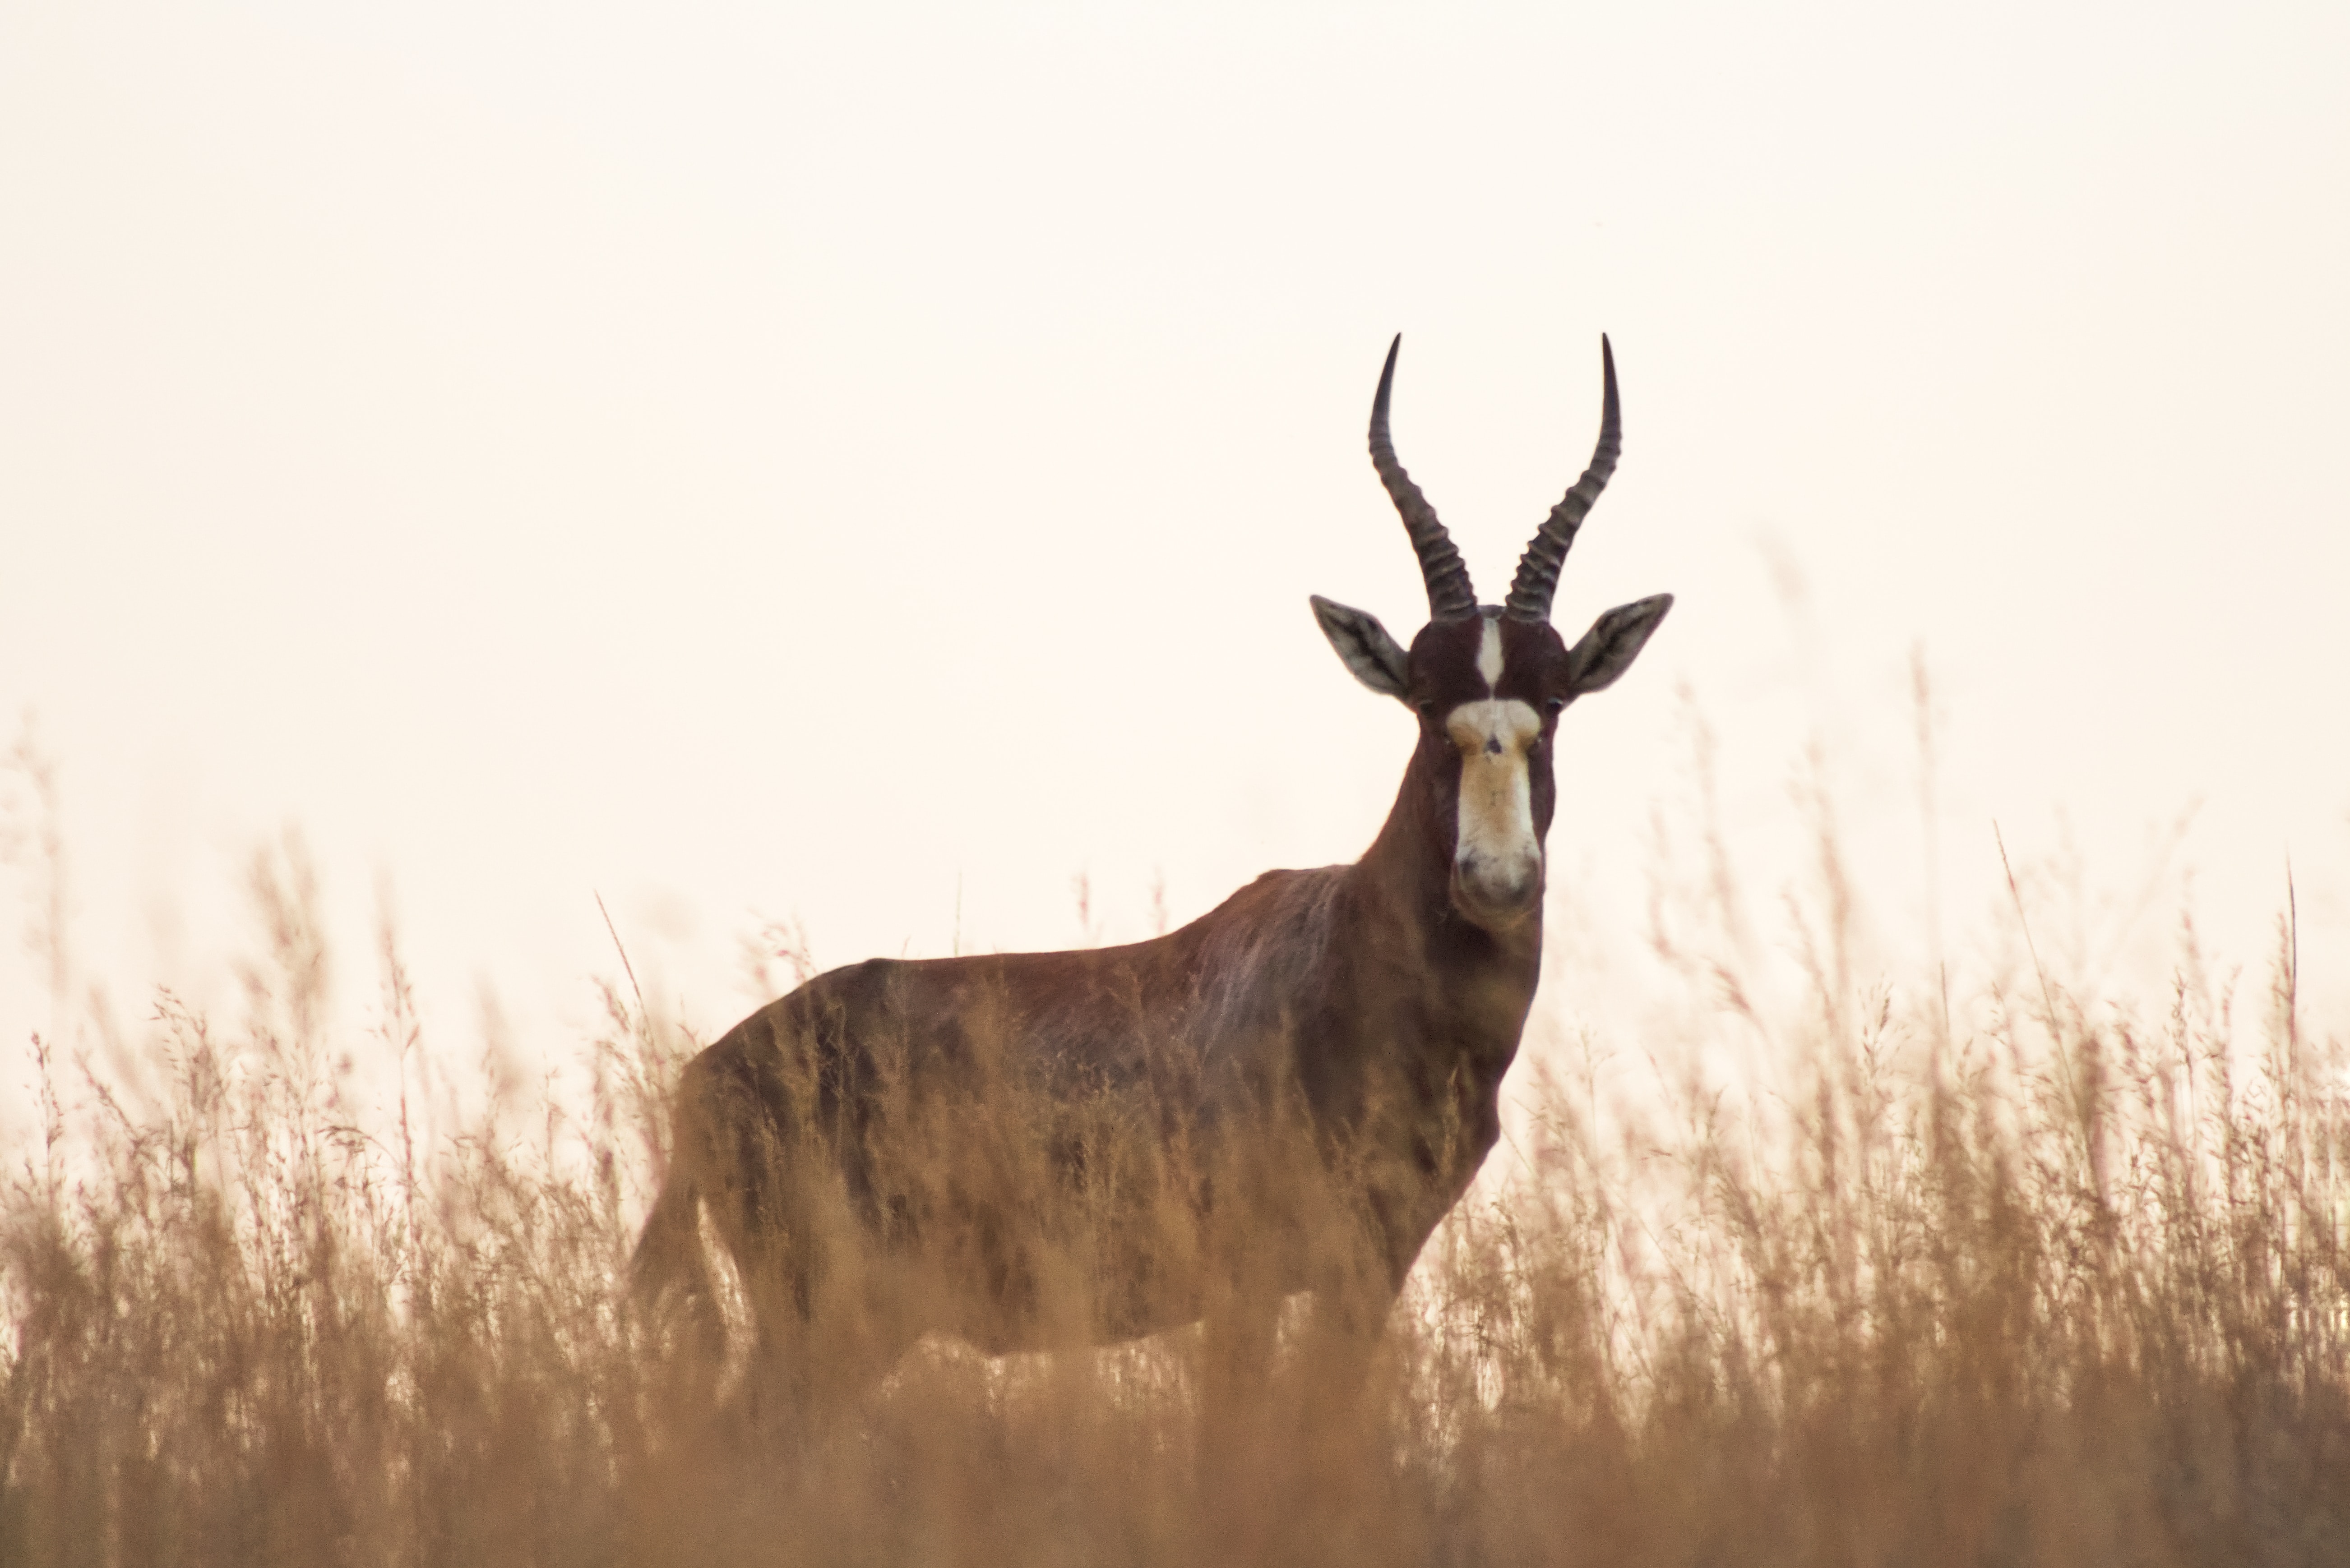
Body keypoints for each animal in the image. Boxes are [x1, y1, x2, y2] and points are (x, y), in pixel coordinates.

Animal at [634, 338, 1682, 1420]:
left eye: (1551, 701)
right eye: (1425, 700)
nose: (1496, 879)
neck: (1343, 953)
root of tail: (700, 1078)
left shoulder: (1367, 1268)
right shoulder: (1247, 1279)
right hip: (826, 1320)